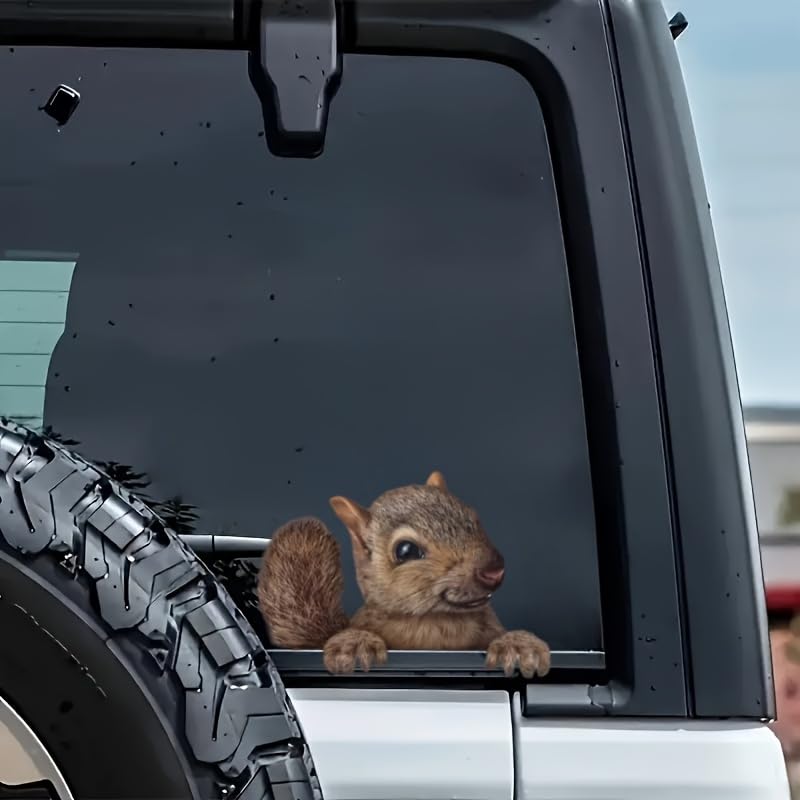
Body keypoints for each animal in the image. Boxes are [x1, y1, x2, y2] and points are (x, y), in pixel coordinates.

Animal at [257, 470, 551, 678]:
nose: (493, 570)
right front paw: (355, 645)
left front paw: (518, 645)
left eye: (474, 519)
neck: (436, 624)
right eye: (406, 550)